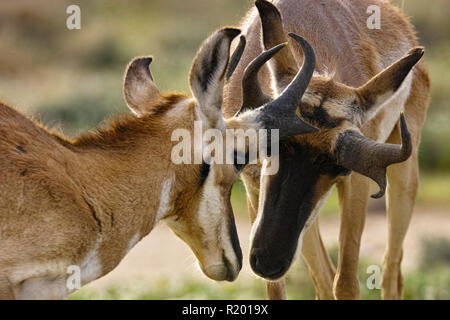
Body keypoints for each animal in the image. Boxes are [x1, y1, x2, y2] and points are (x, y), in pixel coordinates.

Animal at [223, 0, 430, 300]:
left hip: (404, 178)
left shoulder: (355, 183)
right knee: (324, 278)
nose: (270, 261)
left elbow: (346, 283)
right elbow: (277, 289)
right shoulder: (253, 188)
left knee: (391, 269)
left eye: (338, 167)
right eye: (271, 144)